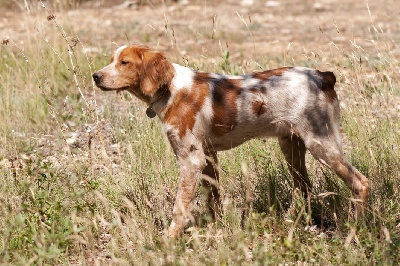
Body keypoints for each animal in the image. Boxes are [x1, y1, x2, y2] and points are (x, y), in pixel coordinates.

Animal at [93, 45, 368, 237]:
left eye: (124, 62)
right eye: (112, 60)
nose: (95, 76)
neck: (170, 89)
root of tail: (322, 76)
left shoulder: (190, 159)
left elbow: (179, 209)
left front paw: (168, 241)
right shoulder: (207, 157)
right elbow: (213, 200)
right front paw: (214, 230)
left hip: (322, 143)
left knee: (360, 183)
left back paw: (356, 229)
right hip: (291, 147)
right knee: (305, 189)